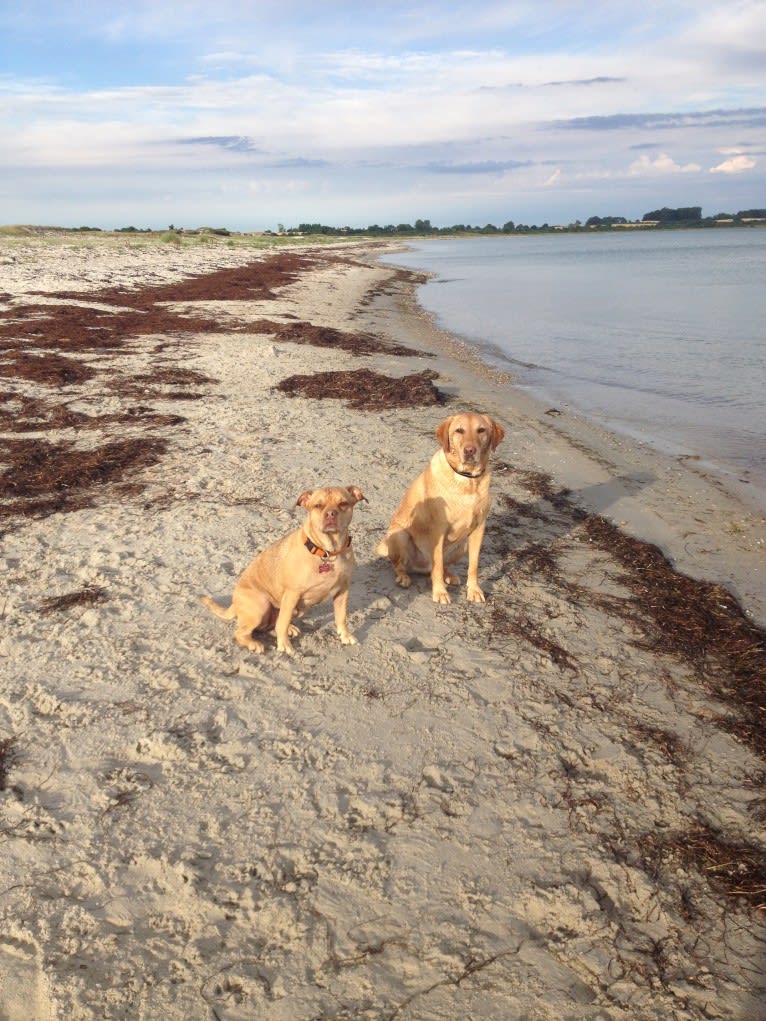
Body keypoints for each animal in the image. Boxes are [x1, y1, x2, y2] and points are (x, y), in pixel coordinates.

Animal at [202, 483, 367, 653]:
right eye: (318, 506)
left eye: (343, 504)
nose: (330, 514)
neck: (328, 552)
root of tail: (234, 604)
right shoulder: (292, 594)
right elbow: (283, 622)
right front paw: (284, 645)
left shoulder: (343, 590)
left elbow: (341, 617)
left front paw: (345, 636)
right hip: (261, 604)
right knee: (242, 632)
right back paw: (254, 643)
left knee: (271, 624)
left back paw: (290, 629)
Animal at [375, 410, 504, 600]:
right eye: (459, 431)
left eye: (481, 430)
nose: (470, 450)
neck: (467, 480)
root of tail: (422, 568)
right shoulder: (438, 529)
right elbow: (437, 566)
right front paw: (440, 592)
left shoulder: (479, 528)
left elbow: (473, 566)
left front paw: (474, 590)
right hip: (401, 536)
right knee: (402, 565)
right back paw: (403, 577)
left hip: (462, 545)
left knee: (443, 566)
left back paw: (449, 575)